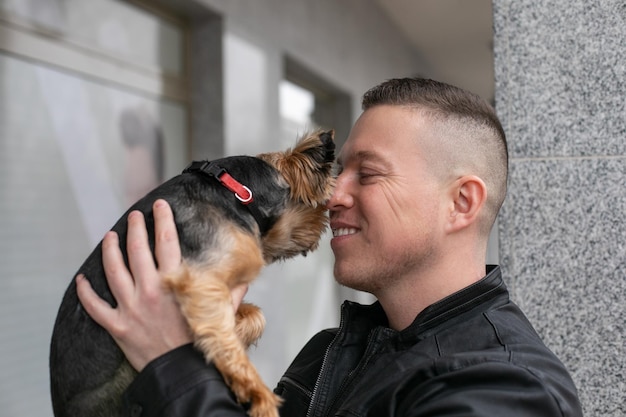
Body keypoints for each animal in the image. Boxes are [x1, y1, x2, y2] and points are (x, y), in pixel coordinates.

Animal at [50, 130, 334, 416]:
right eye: (322, 208)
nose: (322, 230)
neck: (236, 190)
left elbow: (255, 316)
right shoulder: (201, 280)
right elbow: (227, 339)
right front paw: (259, 395)